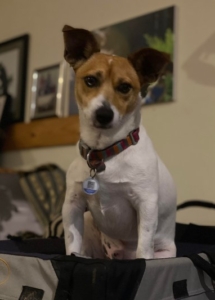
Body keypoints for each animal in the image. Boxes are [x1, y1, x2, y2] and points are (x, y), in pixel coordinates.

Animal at [62, 25, 176, 260]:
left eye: (124, 87)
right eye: (90, 80)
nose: (104, 114)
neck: (105, 151)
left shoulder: (146, 204)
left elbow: (144, 247)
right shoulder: (73, 205)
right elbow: (72, 245)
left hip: (166, 251)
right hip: (88, 221)